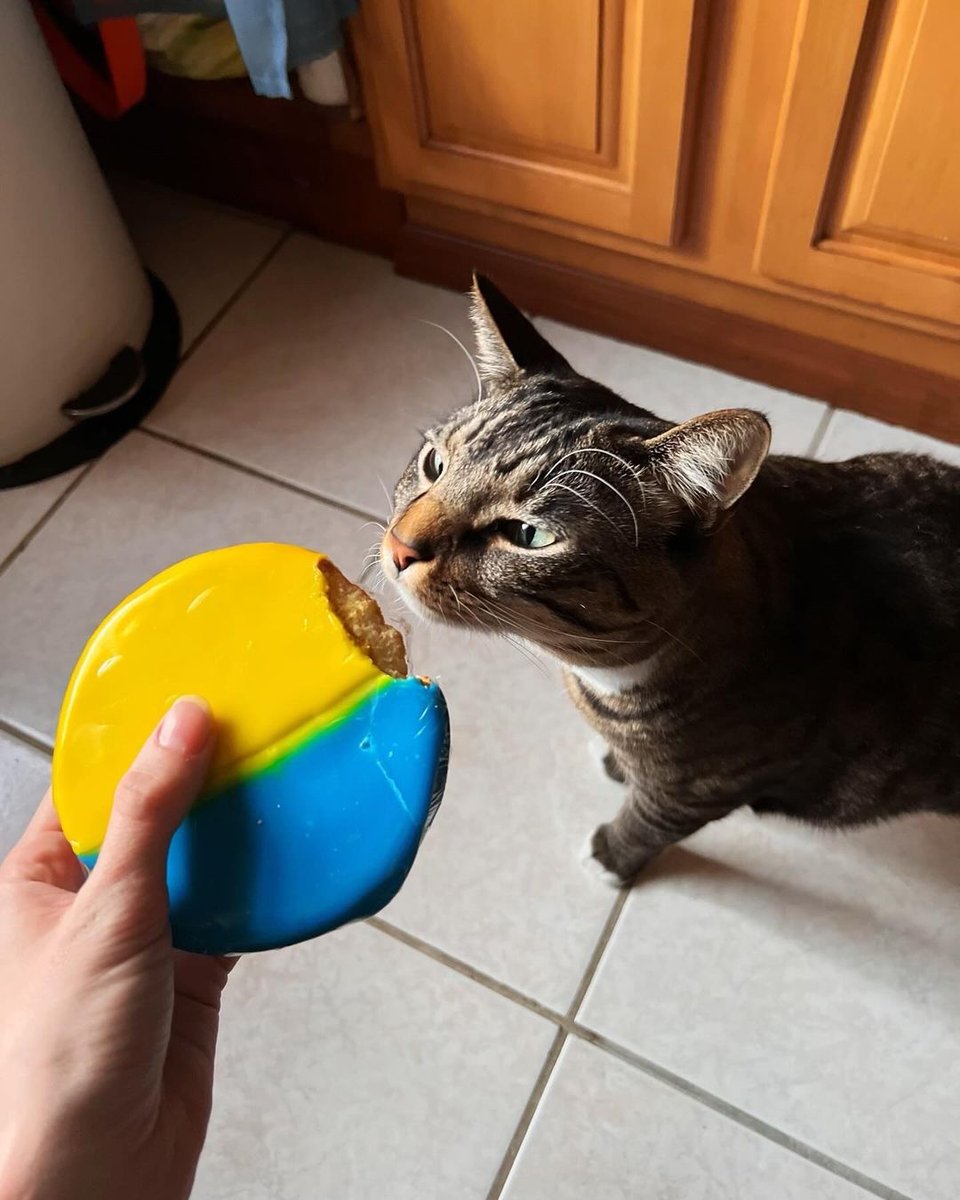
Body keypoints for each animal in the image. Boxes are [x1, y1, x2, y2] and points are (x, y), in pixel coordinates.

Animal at [381, 276, 960, 888]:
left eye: (529, 534)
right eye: (434, 464)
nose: (399, 546)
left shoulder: (702, 788)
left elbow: (650, 820)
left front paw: (611, 856)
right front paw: (617, 765)